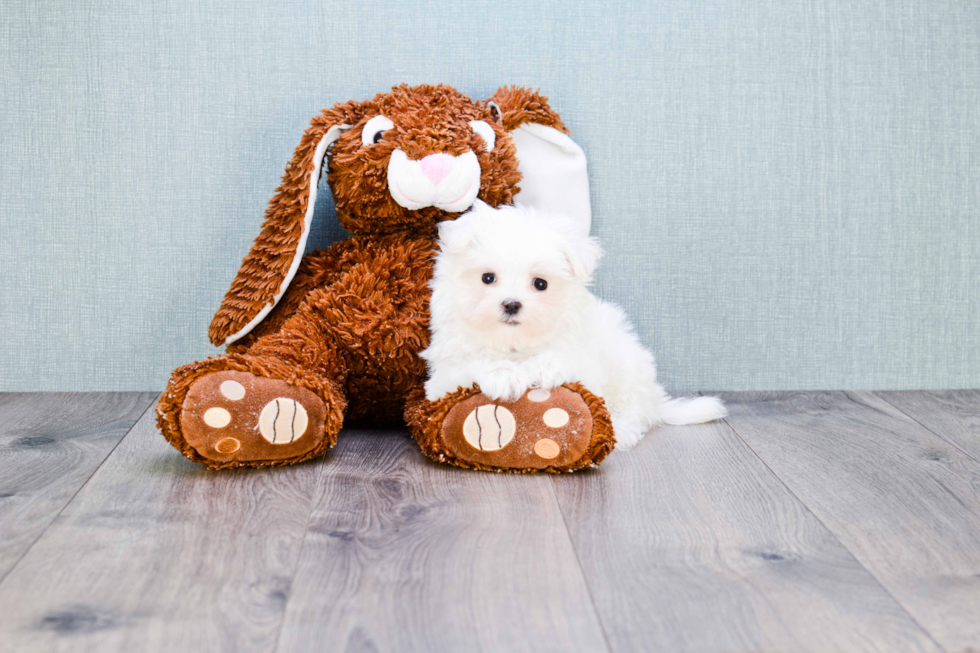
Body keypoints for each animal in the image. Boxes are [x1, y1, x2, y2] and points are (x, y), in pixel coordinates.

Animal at [422, 202, 728, 448]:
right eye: (487, 278)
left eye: (540, 284)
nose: (511, 304)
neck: (515, 345)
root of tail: (654, 397)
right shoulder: (443, 377)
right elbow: (472, 362)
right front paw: (503, 375)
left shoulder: (583, 361)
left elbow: (563, 358)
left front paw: (543, 367)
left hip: (626, 362)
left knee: (635, 409)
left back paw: (621, 431)